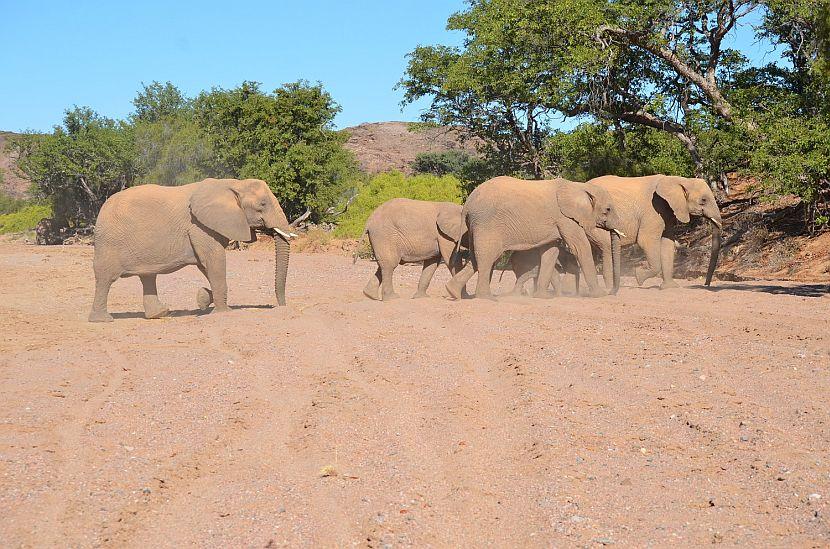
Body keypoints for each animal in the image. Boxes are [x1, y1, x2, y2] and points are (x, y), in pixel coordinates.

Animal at [87, 178, 296, 322]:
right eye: (262, 204)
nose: (281, 307)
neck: (234, 183)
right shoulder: (199, 226)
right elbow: (214, 260)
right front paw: (223, 312)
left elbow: (206, 267)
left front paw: (203, 298)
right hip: (109, 242)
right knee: (106, 278)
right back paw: (103, 320)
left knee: (148, 276)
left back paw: (161, 313)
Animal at [588, 174, 724, 286]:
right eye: (703, 200)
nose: (706, 284)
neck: (678, 180)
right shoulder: (653, 210)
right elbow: (645, 240)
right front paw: (638, 276)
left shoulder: (667, 211)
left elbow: (668, 243)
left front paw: (670, 288)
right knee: (605, 246)